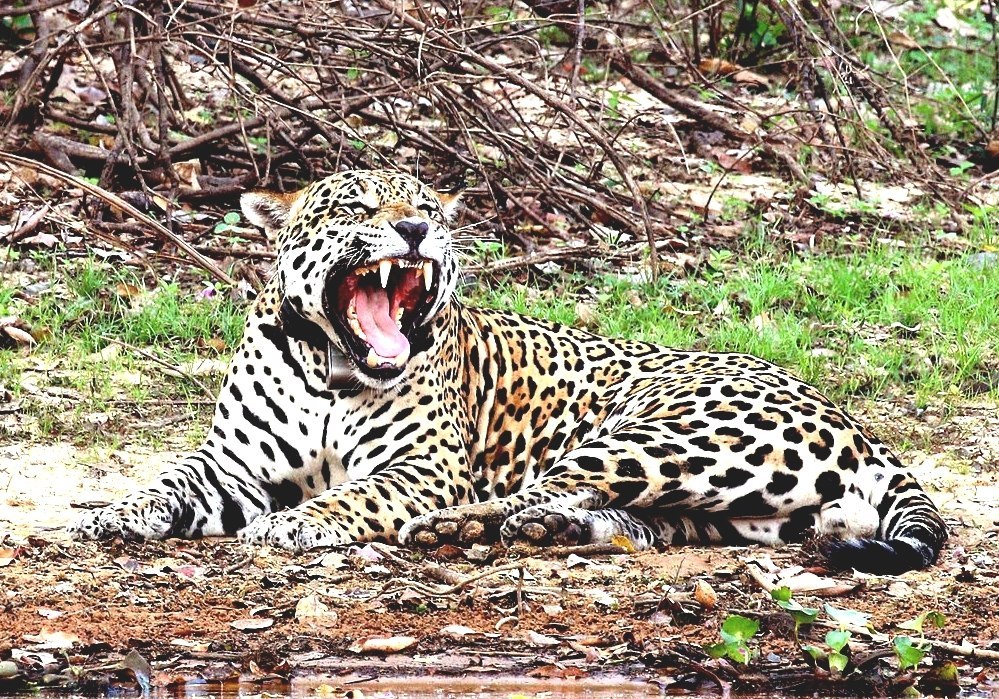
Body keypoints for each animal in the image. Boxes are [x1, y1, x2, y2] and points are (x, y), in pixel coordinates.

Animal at [69, 169, 947, 574]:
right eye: (357, 207)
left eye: (424, 205)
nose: (416, 229)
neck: (330, 367)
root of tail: (853, 419)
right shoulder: (232, 466)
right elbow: (167, 480)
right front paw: (109, 512)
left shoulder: (423, 467)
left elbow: (357, 494)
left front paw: (299, 522)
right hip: (734, 508)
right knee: (624, 519)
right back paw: (542, 532)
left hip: (666, 434)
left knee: (541, 489)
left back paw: (456, 528)